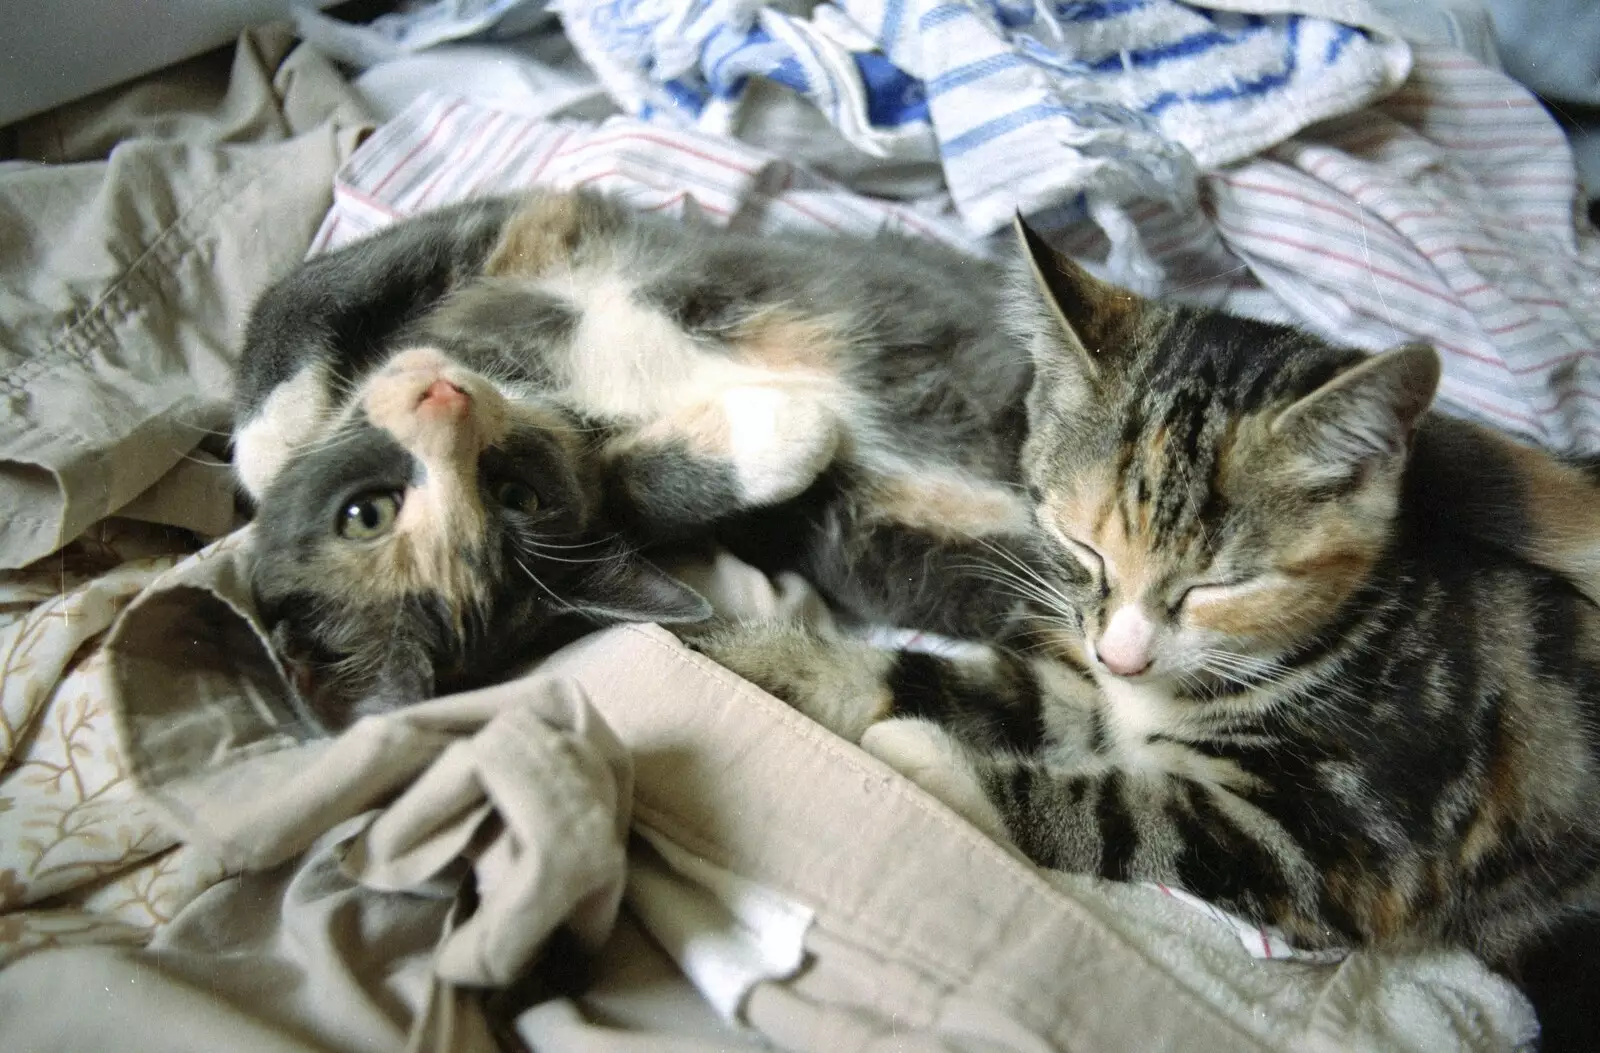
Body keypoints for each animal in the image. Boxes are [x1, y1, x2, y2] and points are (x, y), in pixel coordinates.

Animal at [684, 217, 1600, 966]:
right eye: (1082, 545)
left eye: (1222, 585)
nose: (1123, 656)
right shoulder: (1081, 677)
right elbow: (960, 681)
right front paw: (753, 656)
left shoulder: (1353, 838)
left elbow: (1133, 813)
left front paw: (931, 761)